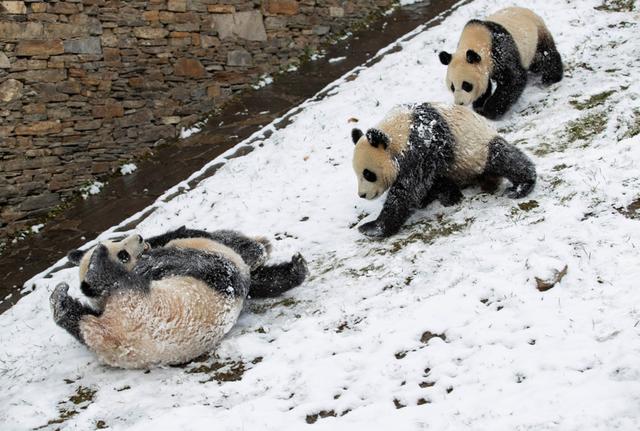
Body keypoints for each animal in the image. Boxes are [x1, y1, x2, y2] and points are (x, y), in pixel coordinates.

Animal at [52, 228, 308, 370]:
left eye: (118, 240)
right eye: (123, 253)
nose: (139, 237)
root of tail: (108, 334)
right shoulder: (214, 270)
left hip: (95, 323)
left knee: (76, 318)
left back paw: (61, 301)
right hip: (136, 303)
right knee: (112, 281)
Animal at [352, 104, 536, 240]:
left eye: (368, 174)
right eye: (356, 174)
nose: (362, 194)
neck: (401, 130)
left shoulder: (423, 146)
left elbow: (407, 190)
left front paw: (373, 228)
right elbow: (429, 181)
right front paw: (445, 196)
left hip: (480, 149)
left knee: (503, 157)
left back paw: (522, 185)